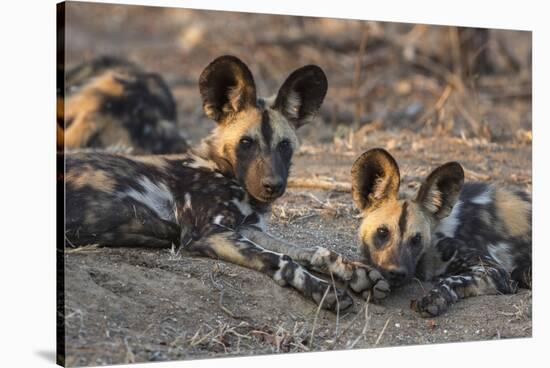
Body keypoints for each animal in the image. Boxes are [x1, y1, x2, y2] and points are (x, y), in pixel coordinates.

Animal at [352, 148, 532, 318]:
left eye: (416, 239)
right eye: (383, 231)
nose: (397, 273)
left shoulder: (494, 270)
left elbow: (452, 280)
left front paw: (434, 298)